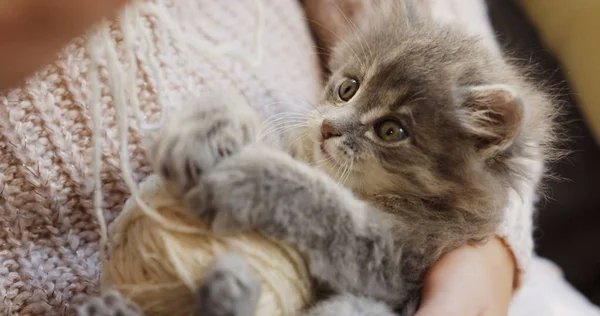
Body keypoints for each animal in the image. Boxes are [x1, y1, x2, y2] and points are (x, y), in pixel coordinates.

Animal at [81, 0, 556, 316]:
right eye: (348, 88)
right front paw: (207, 126)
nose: (331, 128)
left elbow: (329, 210)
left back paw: (226, 292)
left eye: (391, 131)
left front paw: (252, 179)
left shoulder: (399, 261)